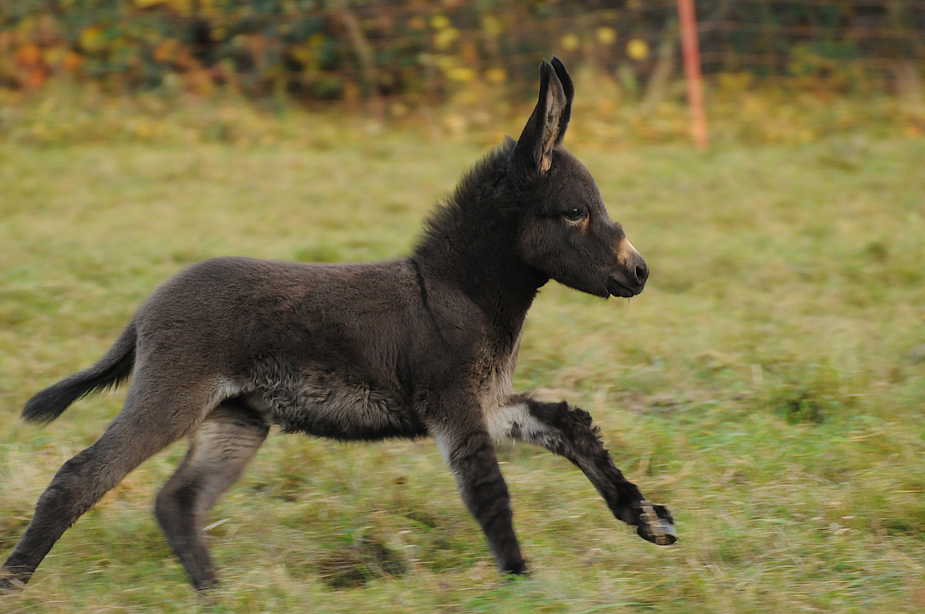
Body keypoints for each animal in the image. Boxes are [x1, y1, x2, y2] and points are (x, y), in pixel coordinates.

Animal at [3, 60, 676, 596]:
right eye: (575, 212)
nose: (641, 272)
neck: (456, 290)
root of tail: (146, 308)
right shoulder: (455, 405)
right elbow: (490, 493)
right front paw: (522, 582)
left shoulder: (486, 402)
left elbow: (566, 425)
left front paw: (644, 515)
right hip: (173, 397)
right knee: (81, 476)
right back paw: (16, 580)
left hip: (236, 418)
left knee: (178, 500)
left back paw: (215, 593)